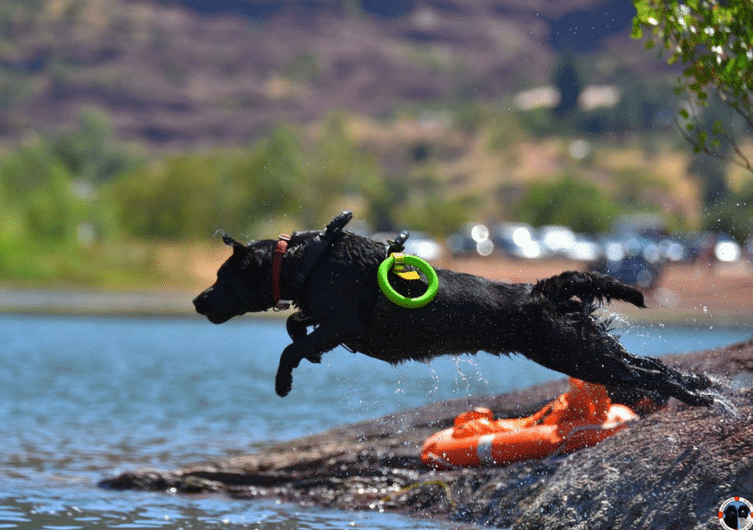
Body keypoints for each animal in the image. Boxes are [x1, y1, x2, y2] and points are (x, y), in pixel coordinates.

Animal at [192, 210, 712, 404]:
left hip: (573, 353)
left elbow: (290, 345)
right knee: (647, 365)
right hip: (589, 346)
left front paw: (284, 381)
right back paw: (699, 386)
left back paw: (695, 394)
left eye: (221, 278)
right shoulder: (327, 320)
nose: (197, 300)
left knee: (643, 373)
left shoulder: (344, 321)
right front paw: (308, 351)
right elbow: (295, 325)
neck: (307, 261)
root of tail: (541, 290)